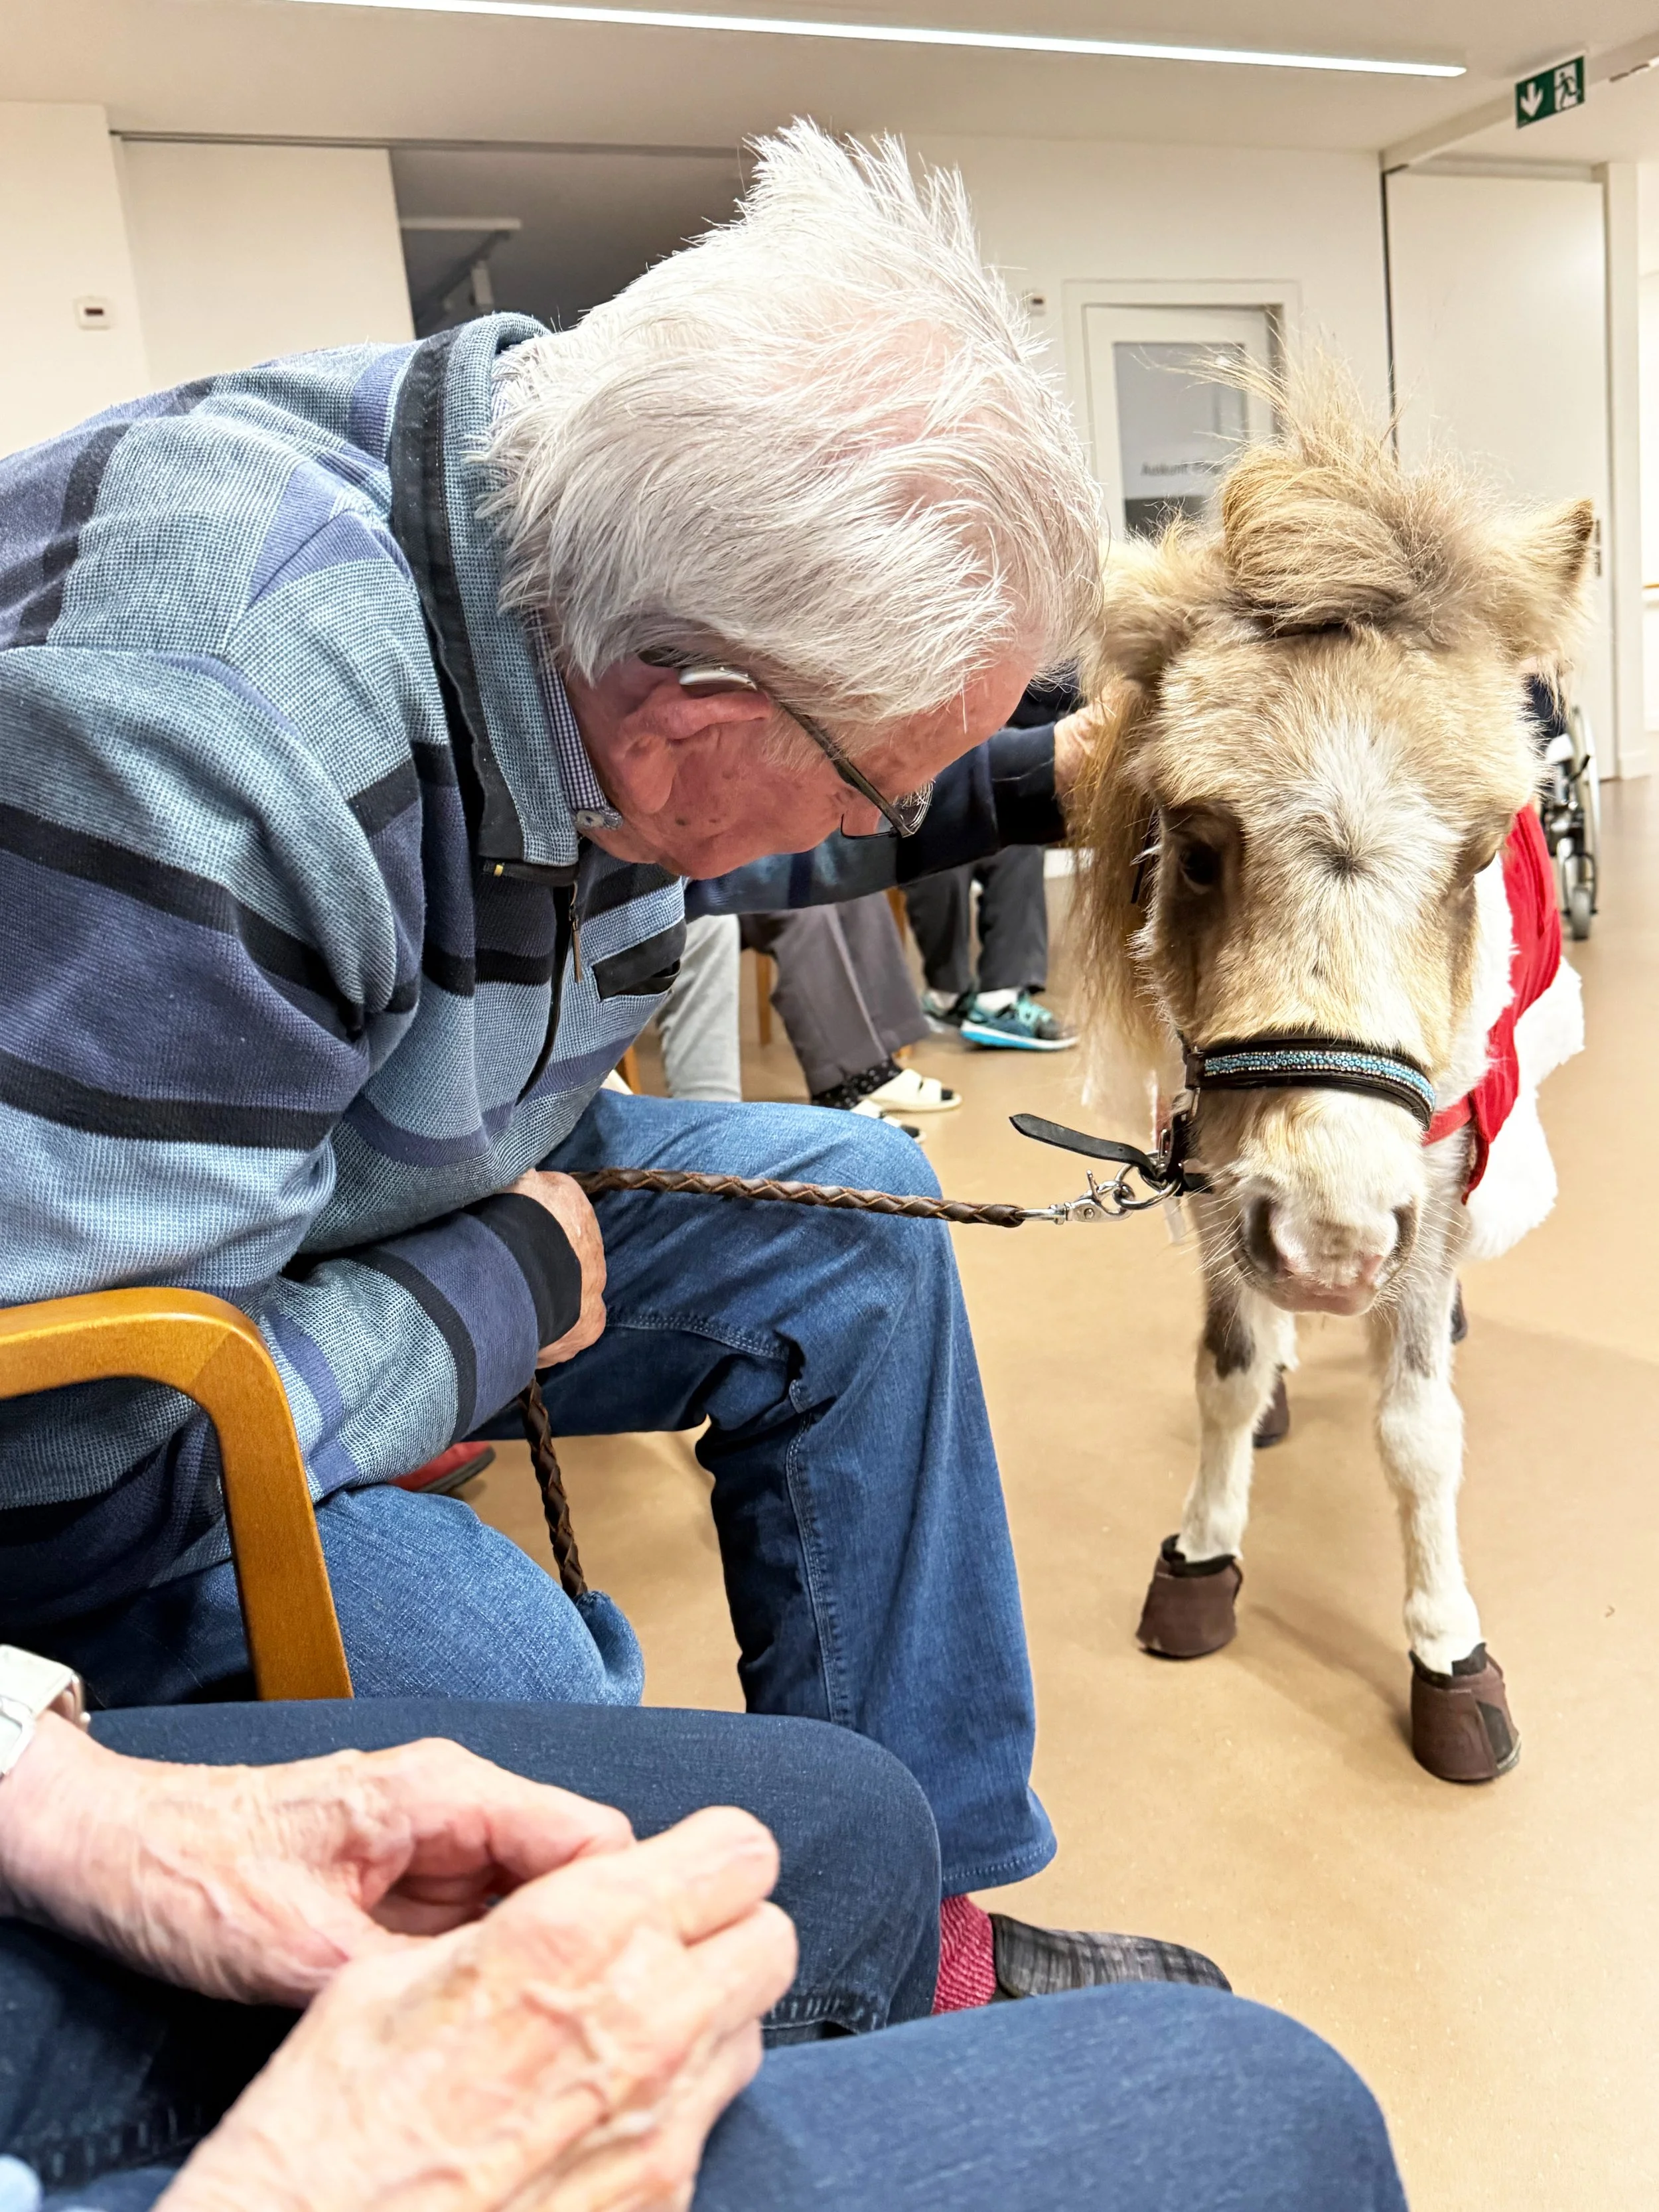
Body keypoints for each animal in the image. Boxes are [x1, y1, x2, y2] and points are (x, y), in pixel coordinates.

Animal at [1071, 370, 1587, 1783]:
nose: (1331, 1239)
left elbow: (1417, 1433)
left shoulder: (1434, 1174)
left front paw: (1447, 1648)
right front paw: (1202, 1553)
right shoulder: (1207, 1164)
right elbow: (1226, 1367)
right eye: (1195, 846)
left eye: (1480, 854)